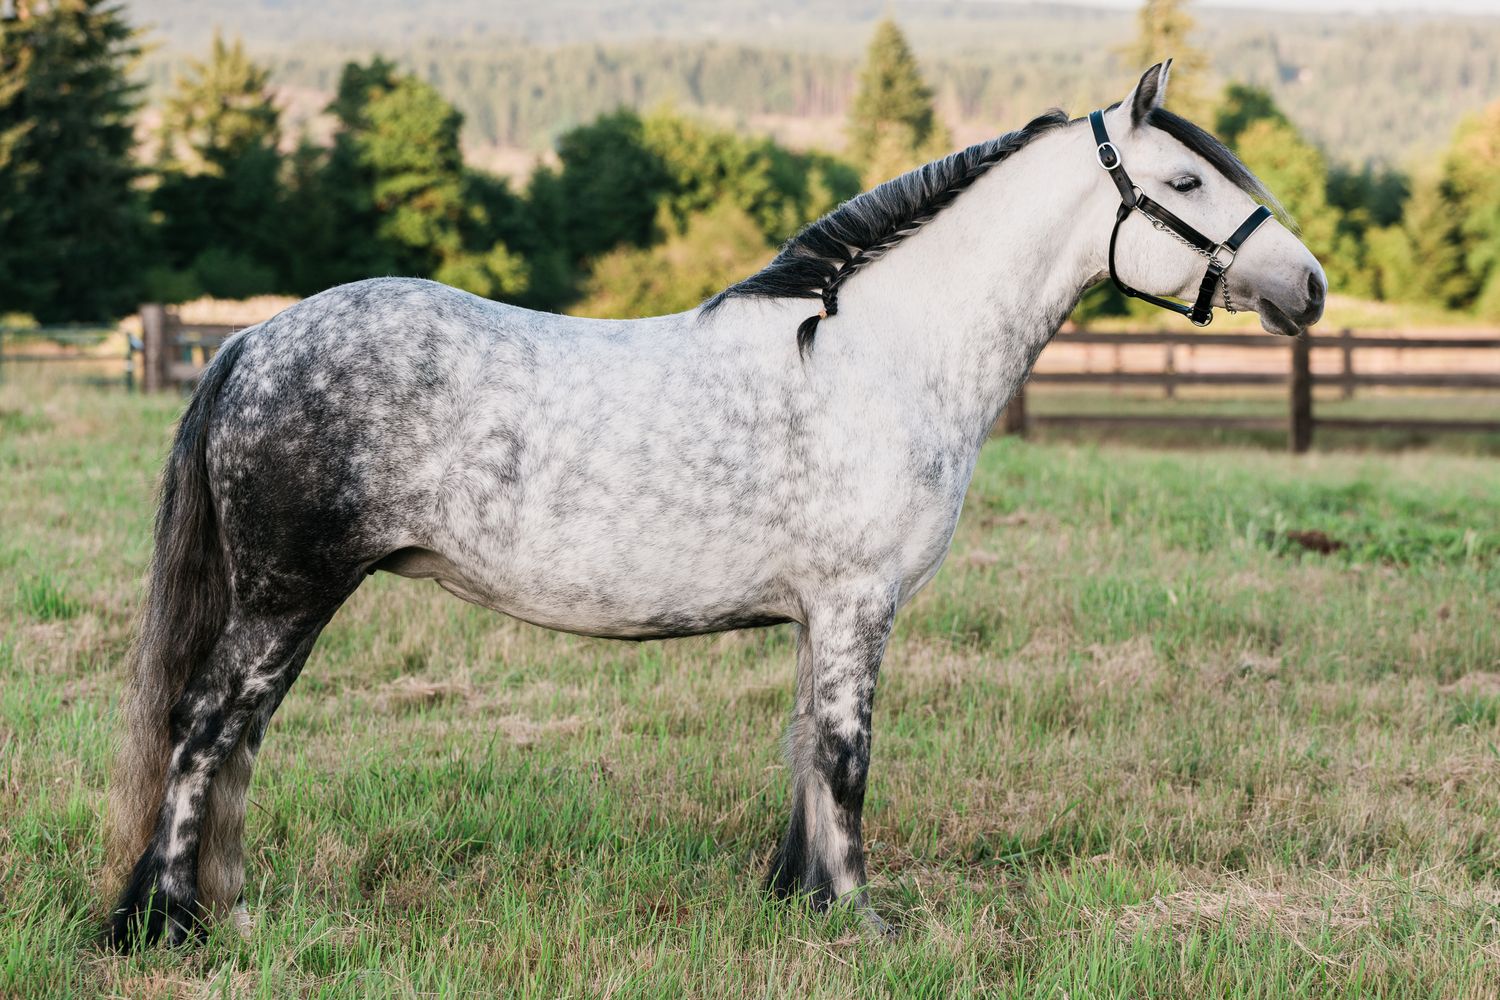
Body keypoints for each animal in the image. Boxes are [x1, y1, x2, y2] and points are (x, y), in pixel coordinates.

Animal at [103, 62, 1325, 947]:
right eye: (1186, 186)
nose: (1307, 288)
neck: (883, 357)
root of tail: (254, 339)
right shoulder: (857, 603)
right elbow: (845, 758)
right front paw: (861, 924)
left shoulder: (822, 615)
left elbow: (805, 754)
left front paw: (799, 902)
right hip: (287, 596)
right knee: (206, 726)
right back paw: (164, 924)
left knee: (240, 734)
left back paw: (227, 909)